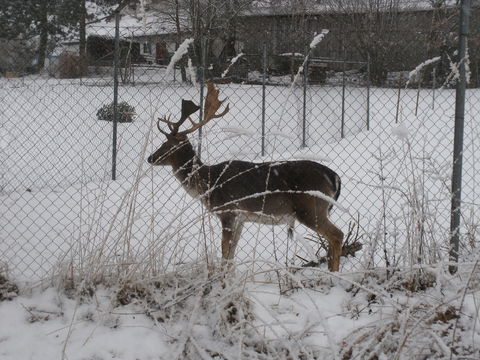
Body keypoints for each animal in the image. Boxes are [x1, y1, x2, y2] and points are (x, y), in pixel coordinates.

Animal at [148, 82, 344, 270]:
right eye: (163, 143)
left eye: (169, 145)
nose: (150, 157)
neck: (209, 182)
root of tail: (334, 176)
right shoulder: (241, 218)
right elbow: (231, 253)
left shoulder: (228, 211)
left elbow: (225, 251)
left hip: (311, 207)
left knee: (337, 235)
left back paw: (332, 275)